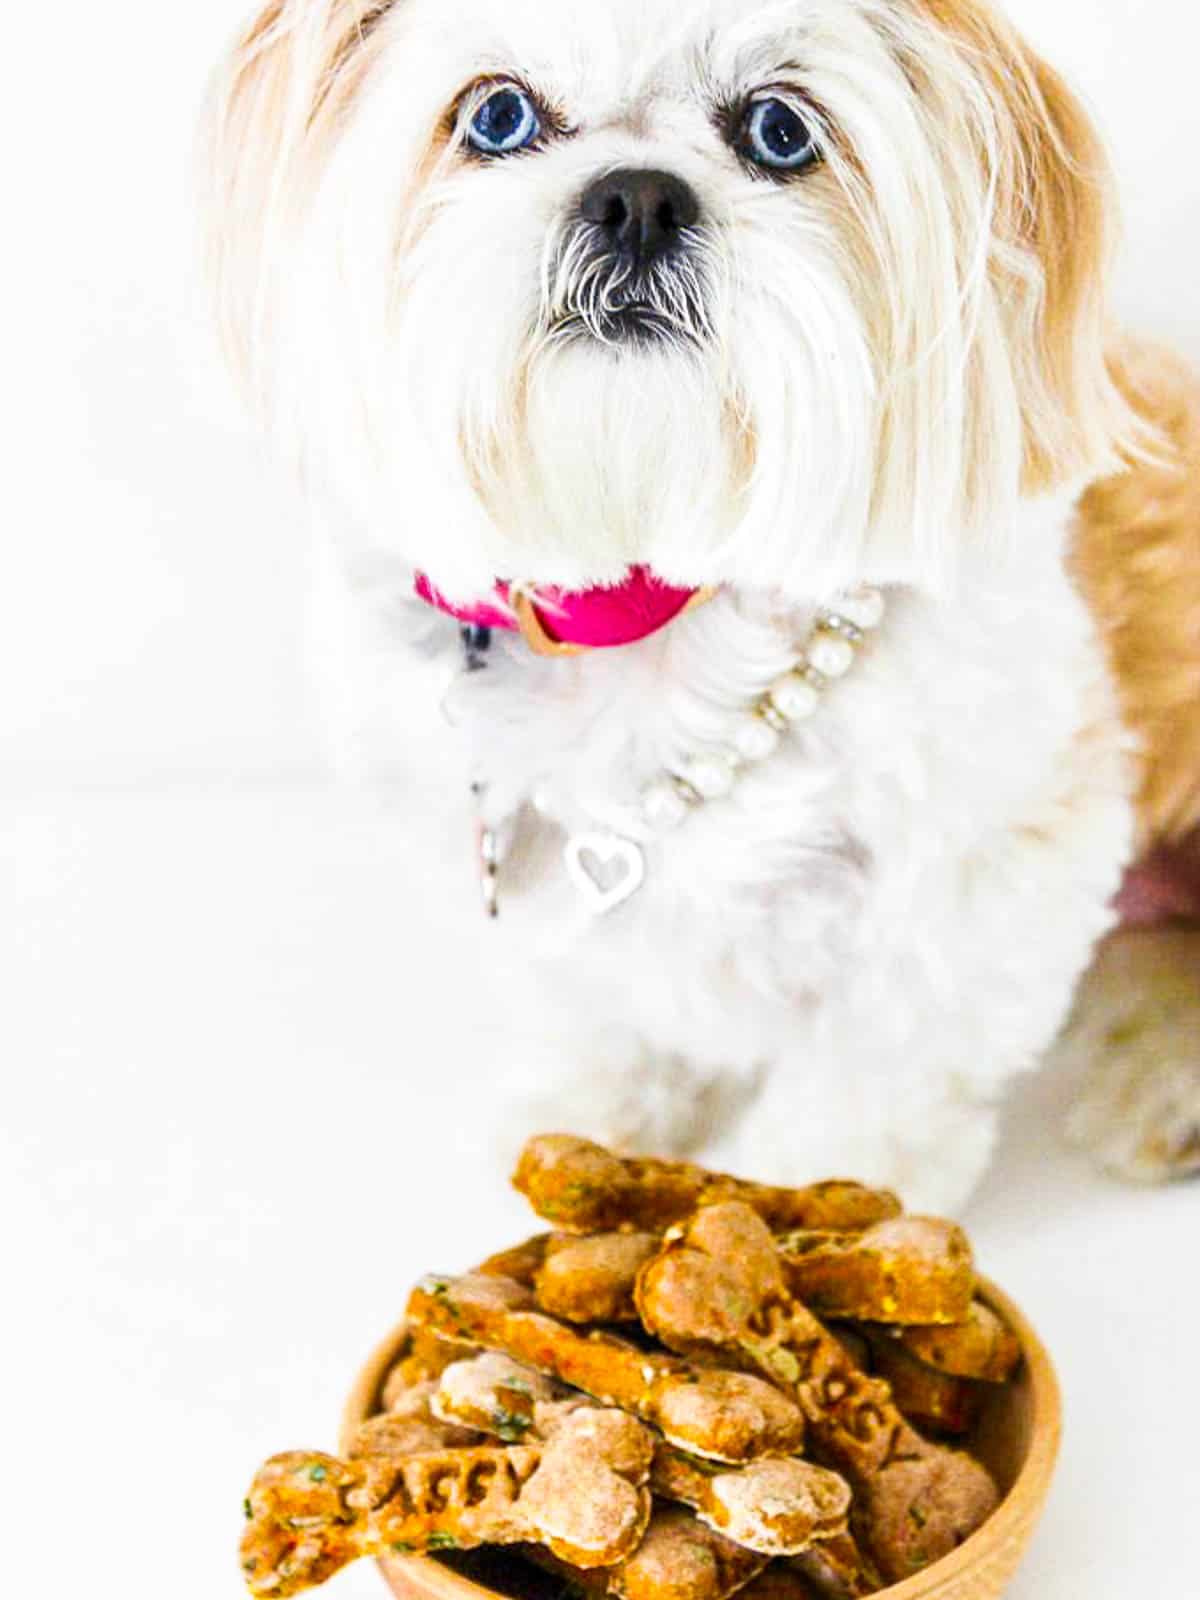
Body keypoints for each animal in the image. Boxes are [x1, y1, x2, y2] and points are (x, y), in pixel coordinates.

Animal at [206, 0, 1200, 1203]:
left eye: (778, 129)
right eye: (497, 115)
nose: (637, 197)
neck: (650, 595)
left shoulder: (994, 860)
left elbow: (883, 1060)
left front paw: (820, 1195)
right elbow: (596, 1004)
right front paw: (594, 1116)